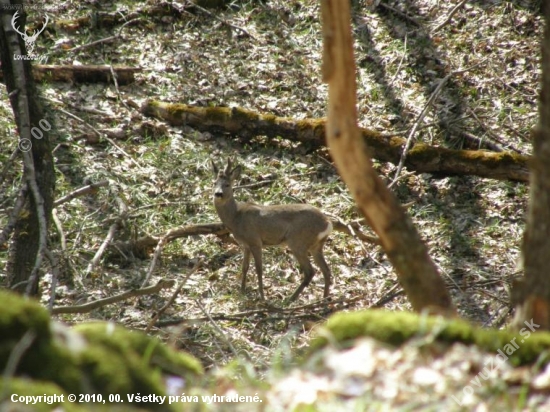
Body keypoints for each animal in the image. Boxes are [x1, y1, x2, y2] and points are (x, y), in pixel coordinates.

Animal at [211, 158, 354, 302]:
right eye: (214, 183)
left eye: (227, 184)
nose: (218, 193)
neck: (236, 218)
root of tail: (328, 222)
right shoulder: (245, 245)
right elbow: (244, 267)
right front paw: (241, 292)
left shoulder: (255, 241)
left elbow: (258, 269)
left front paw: (262, 297)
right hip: (316, 245)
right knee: (326, 270)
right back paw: (324, 298)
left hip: (298, 241)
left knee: (310, 271)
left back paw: (290, 299)